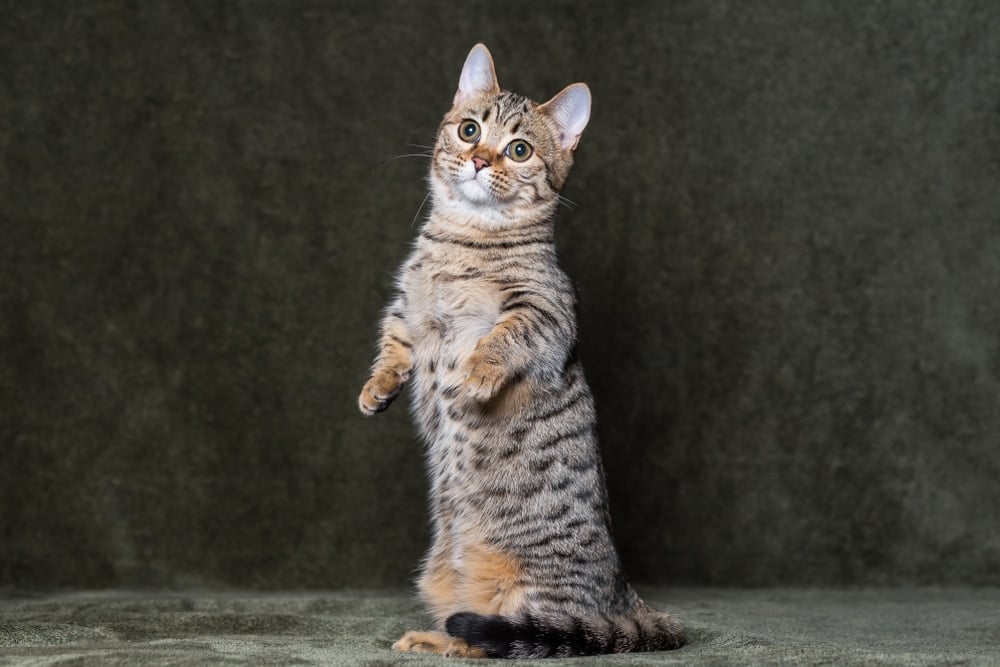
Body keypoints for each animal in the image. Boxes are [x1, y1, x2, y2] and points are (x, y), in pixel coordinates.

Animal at [356, 44, 684, 660]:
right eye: (469, 130)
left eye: (519, 149)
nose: (481, 160)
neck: (462, 240)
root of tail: (627, 600)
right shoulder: (408, 309)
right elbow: (392, 344)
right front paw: (376, 389)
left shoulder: (547, 311)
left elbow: (505, 336)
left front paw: (478, 375)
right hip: (441, 573)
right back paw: (430, 638)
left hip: (527, 591)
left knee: (513, 636)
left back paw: (456, 644)